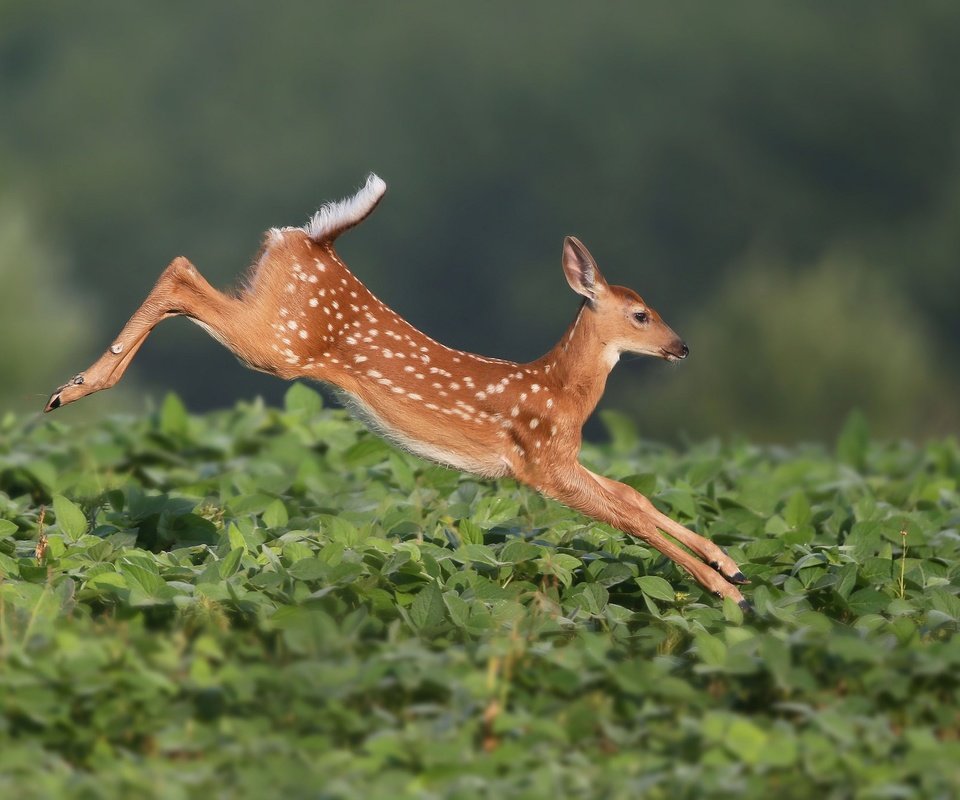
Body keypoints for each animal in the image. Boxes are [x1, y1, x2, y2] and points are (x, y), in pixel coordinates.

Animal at [45, 177, 752, 608]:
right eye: (640, 314)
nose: (682, 346)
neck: (562, 392)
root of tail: (316, 239)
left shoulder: (562, 457)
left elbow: (634, 494)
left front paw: (730, 564)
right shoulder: (540, 462)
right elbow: (626, 515)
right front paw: (729, 593)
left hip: (271, 314)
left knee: (185, 272)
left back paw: (74, 386)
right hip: (279, 343)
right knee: (182, 272)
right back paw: (75, 388)